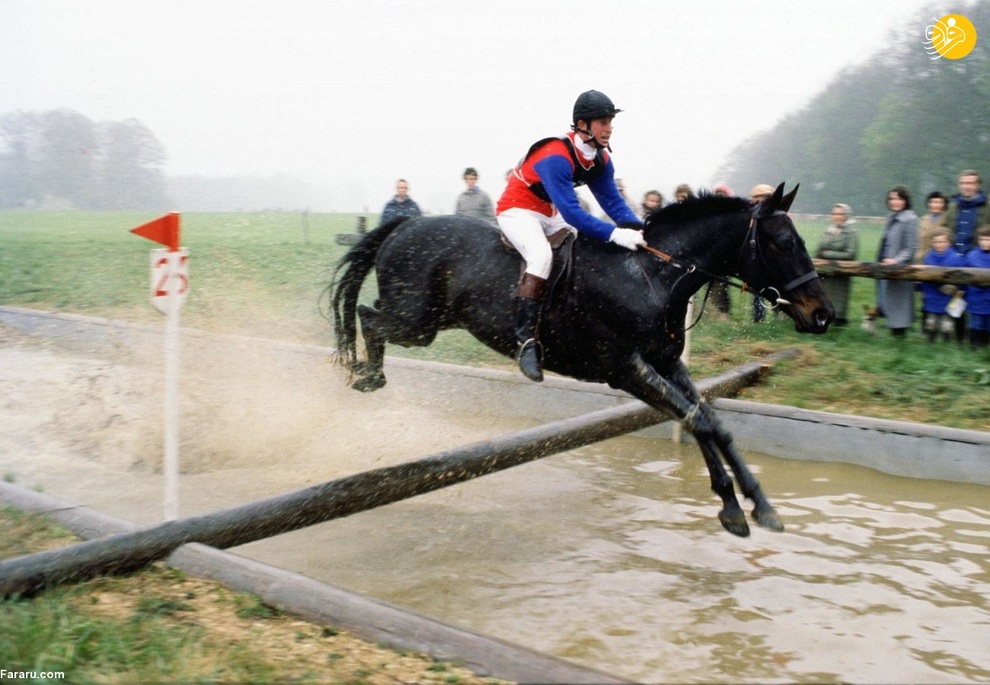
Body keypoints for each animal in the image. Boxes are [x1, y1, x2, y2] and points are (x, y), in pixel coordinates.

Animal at [334, 184, 836, 536]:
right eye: (783, 243)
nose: (823, 315)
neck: (652, 275)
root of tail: (404, 225)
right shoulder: (627, 370)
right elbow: (699, 420)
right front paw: (735, 505)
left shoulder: (667, 365)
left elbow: (711, 421)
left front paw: (756, 505)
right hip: (416, 322)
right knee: (368, 316)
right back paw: (366, 374)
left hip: (425, 322)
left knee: (369, 315)